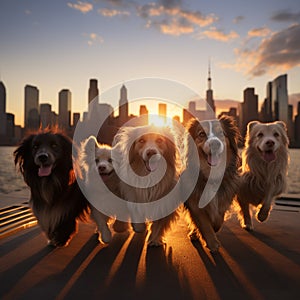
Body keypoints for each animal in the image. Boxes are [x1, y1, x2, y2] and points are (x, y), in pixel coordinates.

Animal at [183, 116, 241, 252]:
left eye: (221, 133)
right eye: (201, 134)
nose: (215, 143)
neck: (211, 176)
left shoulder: (223, 201)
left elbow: (219, 219)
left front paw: (214, 229)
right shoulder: (195, 203)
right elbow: (204, 224)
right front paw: (212, 243)